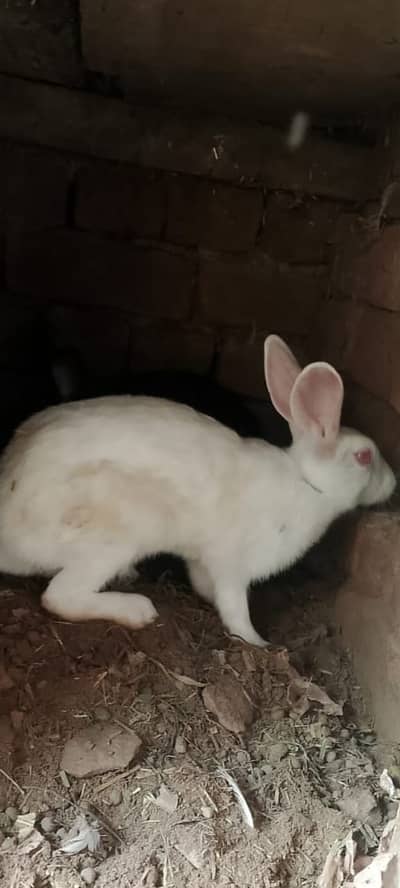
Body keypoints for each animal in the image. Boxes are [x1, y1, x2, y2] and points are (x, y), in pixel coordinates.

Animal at [0, 334, 395, 646]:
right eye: (364, 456)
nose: (393, 483)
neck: (307, 483)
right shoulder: (233, 564)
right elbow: (235, 608)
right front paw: (258, 643)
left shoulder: (204, 562)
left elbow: (206, 587)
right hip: (113, 535)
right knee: (60, 597)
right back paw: (137, 610)